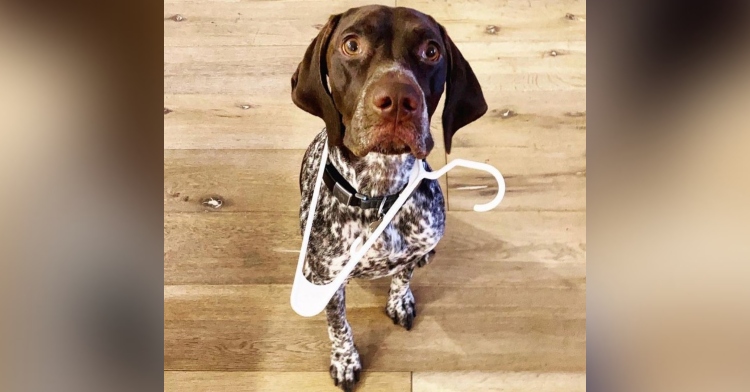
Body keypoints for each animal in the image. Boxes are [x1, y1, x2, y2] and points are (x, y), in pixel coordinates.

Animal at [288, 4, 488, 390]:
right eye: (351, 45)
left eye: (431, 51)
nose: (397, 100)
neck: (379, 194)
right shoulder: (329, 281)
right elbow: (338, 325)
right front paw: (346, 360)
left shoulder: (416, 246)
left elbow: (404, 274)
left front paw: (400, 300)